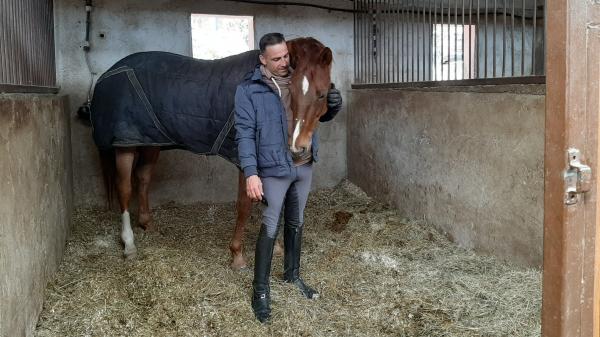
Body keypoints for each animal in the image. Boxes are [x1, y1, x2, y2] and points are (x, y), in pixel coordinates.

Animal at [88, 37, 332, 268]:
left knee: (143, 177)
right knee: (124, 188)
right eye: (292, 90)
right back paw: (129, 244)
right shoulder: (243, 159)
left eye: (322, 95)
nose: (298, 148)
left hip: (151, 141)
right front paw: (237, 254)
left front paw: (278, 247)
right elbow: (244, 206)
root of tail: (105, 75)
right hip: (125, 145)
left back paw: (147, 224)